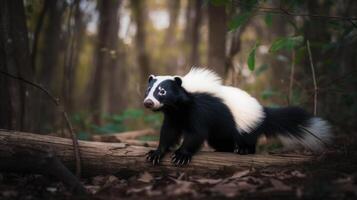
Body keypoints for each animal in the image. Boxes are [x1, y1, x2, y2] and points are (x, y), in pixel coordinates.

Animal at [142, 68, 330, 165]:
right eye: (148, 90)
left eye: (162, 92)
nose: (148, 102)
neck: (180, 105)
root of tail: (264, 112)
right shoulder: (174, 115)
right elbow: (169, 132)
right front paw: (156, 153)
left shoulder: (200, 110)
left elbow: (196, 133)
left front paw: (182, 155)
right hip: (221, 134)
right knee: (221, 141)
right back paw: (224, 149)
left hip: (246, 126)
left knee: (248, 140)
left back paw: (243, 150)